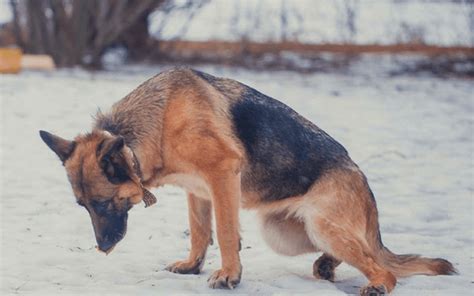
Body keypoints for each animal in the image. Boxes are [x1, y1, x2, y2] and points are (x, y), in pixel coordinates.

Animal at [40, 68, 456, 294]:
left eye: (104, 204)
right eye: (83, 206)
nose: (102, 248)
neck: (156, 124)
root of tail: (363, 181)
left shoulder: (222, 176)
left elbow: (224, 231)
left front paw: (229, 275)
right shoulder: (197, 191)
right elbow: (199, 232)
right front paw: (193, 266)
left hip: (320, 224)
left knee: (381, 266)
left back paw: (377, 284)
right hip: (286, 233)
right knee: (357, 253)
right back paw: (327, 266)